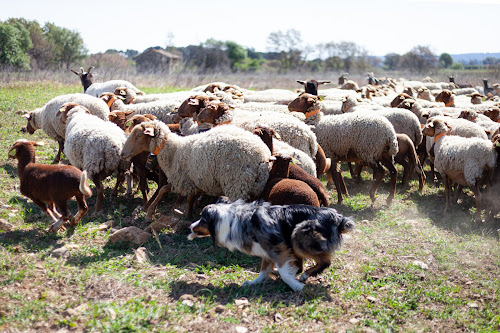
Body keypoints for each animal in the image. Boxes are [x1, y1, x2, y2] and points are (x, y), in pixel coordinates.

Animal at [188, 198, 356, 290]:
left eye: (202, 219)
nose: (190, 226)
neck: (233, 221)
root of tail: (338, 218)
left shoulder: (277, 249)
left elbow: (284, 272)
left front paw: (296, 286)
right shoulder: (267, 252)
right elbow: (263, 271)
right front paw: (253, 282)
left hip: (298, 234)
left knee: (325, 261)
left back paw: (304, 276)